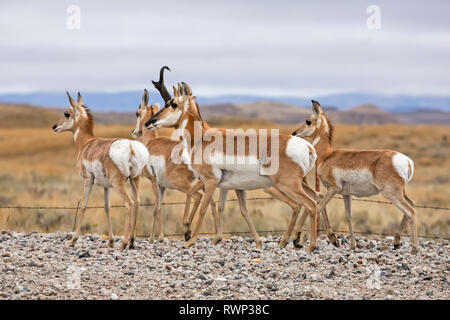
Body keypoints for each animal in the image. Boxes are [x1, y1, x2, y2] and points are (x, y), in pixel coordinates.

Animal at [52, 92, 148, 250]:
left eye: (66, 113)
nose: (54, 126)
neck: (86, 143)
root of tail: (130, 146)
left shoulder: (87, 180)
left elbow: (83, 206)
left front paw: (73, 240)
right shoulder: (106, 186)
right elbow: (107, 208)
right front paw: (110, 241)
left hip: (119, 183)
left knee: (129, 204)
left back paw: (124, 243)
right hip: (135, 179)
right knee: (138, 202)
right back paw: (132, 242)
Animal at [130, 86, 218, 241]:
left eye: (137, 113)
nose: (134, 132)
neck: (151, 142)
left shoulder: (154, 181)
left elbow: (158, 208)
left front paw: (159, 237)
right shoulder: (162, 185)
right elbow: (155, 209)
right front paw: (152, 238)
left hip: (180, 183)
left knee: (196, 196)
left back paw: (188, 229)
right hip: (204, 182)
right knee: (211, 203)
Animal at [146, 79, 318, 251]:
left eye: (172, 104)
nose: (149, 123)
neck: (202, 138)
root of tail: (307, 147)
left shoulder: (210, 182)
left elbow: (203, 207)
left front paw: (190, 240)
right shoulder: (231, 186)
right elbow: (237, 209)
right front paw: (255, 242)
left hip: (287, 186)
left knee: (309, 204)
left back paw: (308, 245)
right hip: (295, 185)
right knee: (312, 200)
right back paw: (292, 241)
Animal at [292, 101, 418, 254]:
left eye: (308, 121)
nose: (294, 133)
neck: (327, 155)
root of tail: (407, 161)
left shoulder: (332, 189)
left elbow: (318, 207)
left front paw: (302, 241)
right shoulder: (346, 194)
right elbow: (348, 215)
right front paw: (352, 245)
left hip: (391, 193)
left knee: (411, 211)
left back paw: (414, 248)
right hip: (400, 192)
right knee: (411, 204)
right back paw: (396, 242)